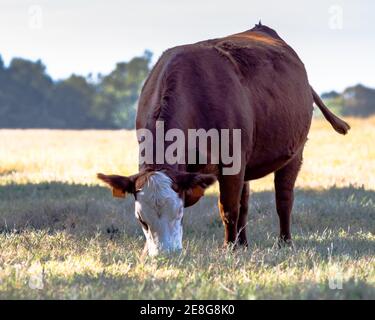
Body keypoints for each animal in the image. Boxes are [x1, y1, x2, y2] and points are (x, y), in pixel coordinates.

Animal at [98, 23, 352, 255]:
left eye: (179, 214)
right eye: (141, 219)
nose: (165, 254)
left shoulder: (232, 161)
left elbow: (228, 208)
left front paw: (228, 247)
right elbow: (237, 205)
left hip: (293, 154)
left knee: (283, 200)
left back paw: (283, 242)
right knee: (245, 203)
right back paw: (244, 243)